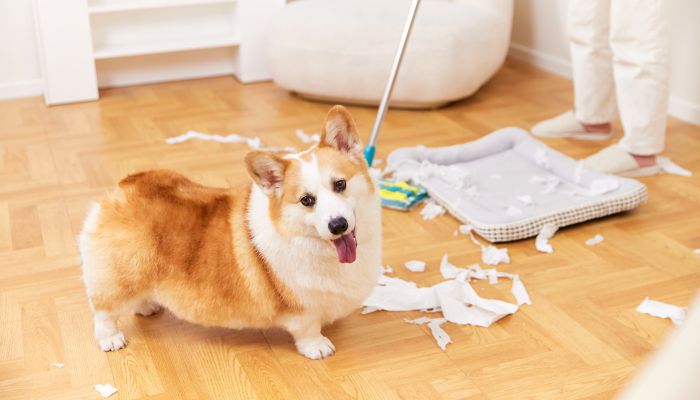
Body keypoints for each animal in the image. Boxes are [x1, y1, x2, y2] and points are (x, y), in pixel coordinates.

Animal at [80, 105, 382, 360]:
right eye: (307, 200)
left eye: (340, 184)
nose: (338, 225)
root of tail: (123, 187)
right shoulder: (301, 309)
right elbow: (307, 329)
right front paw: (318, 347)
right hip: (122, 276)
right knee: (103, 310)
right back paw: (110, 339)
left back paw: (147, 305)